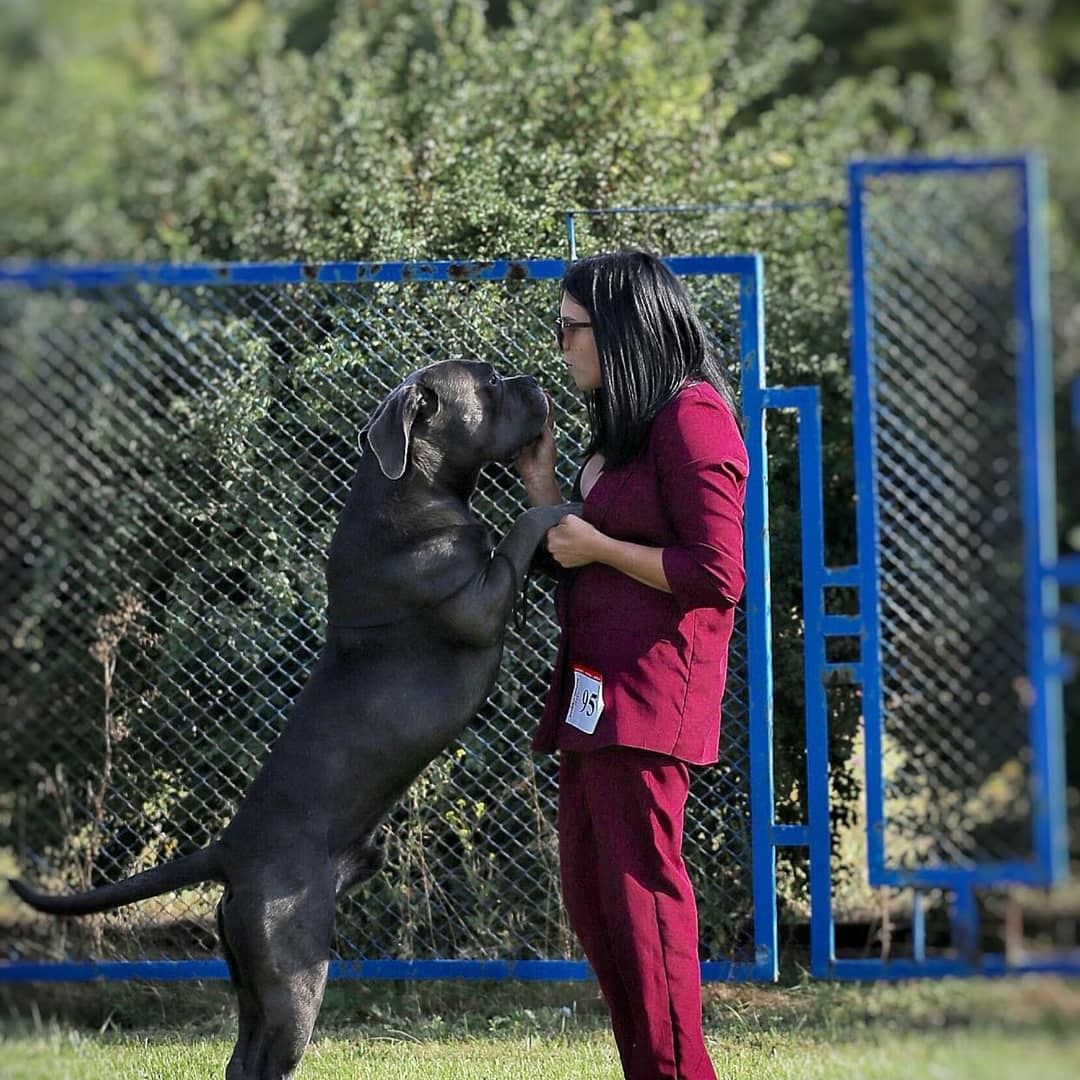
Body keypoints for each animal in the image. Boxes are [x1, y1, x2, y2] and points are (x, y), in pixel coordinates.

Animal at [10, 362, 583, 1080]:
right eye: (486, 386)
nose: (532, 381)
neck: (409, 487)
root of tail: (229, 849)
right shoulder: (481, 596)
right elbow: (520, 529)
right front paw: (560, 508)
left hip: (255, 978)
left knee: (240, 1059)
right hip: (295, 975)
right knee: (267, 1060)